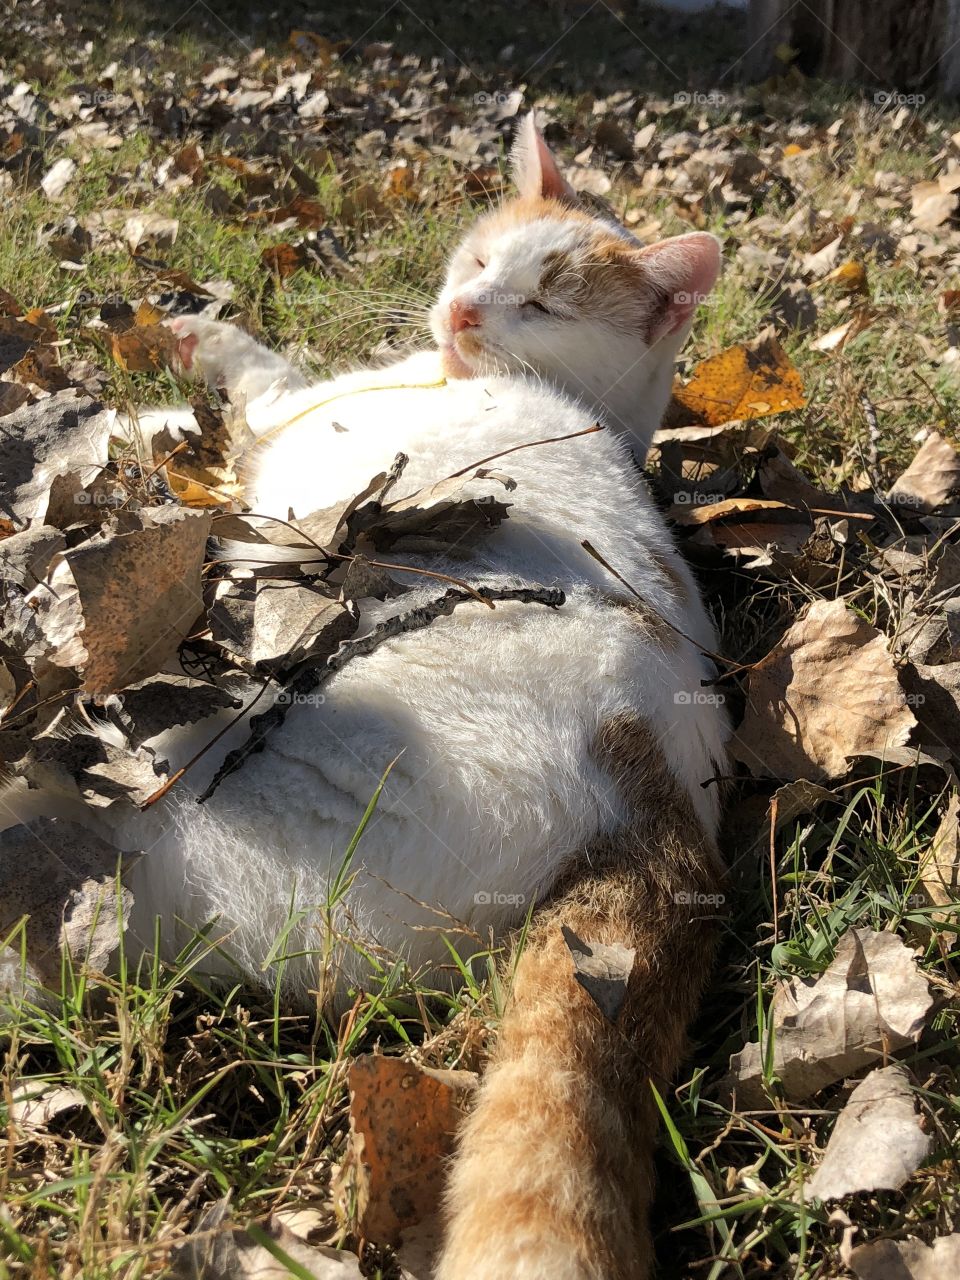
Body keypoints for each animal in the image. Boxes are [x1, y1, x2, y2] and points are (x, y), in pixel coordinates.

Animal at [5, 115, 727, 1274]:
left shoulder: (284, 411)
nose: (466, 309)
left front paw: (168, 354)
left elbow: (232, 376)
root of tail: (666, 808)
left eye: (546, 302)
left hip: (211, 775)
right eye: (481, 260)